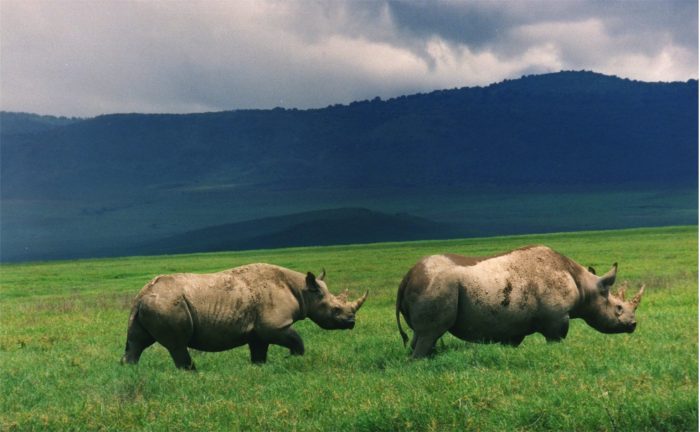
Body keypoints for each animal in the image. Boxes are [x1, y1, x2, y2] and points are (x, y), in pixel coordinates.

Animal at [122, 264, 370, 370]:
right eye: (335, 310)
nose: (352, 322)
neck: (303, 290)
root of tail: (141, 295)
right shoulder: (274, 325)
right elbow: (296, 339)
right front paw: (293, 359)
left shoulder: (258, 331)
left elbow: (259, 352)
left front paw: (260, 368)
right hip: (167, 304)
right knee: (177, 345)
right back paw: (192, 373)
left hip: (151, 305)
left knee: (137, 342)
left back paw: (130, 371)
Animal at [394, 245, 644, 360]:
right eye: (618, 308)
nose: (633, 325)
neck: (586, 286)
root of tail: (406, 278)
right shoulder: (556, 319)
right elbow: (556, 339)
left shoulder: (512, 325)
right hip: (436, 284)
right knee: (429, 335)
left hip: (430, 284)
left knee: (421, 335)